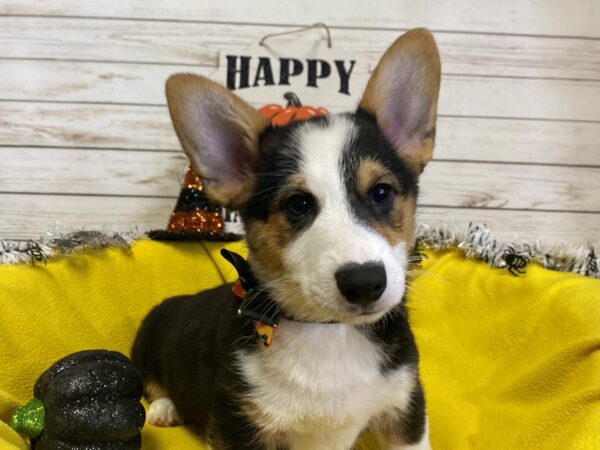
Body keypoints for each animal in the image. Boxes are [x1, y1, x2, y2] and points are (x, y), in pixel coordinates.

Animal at [131, 29, 440, 450]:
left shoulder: (405, 413)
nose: (364, 283)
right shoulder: (239, 425)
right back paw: (165, 408)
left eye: (381, 193)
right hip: (146, 341)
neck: (328, 332)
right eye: (298, 204)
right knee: (151, 382)